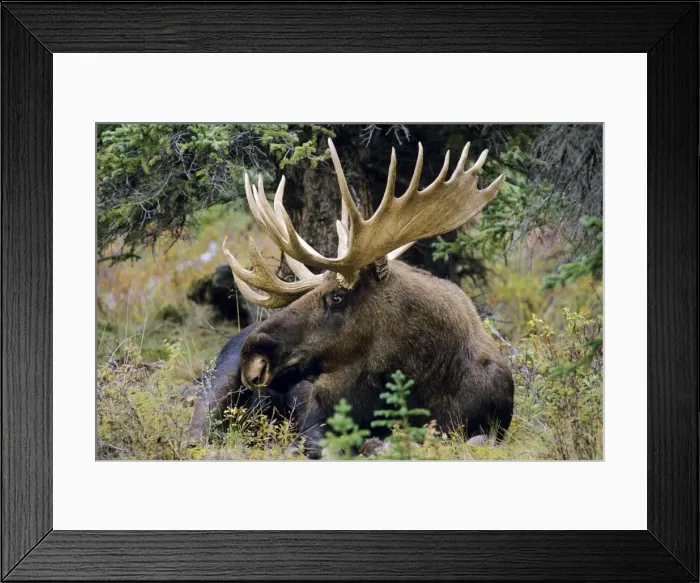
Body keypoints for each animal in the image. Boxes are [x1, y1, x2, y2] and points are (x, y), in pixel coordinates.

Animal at [188, 139, 514, 458]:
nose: (253, 356)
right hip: (215, 385)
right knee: (197, 435)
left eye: (336, 296)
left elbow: (472, 440)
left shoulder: (492, 426)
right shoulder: (316, 417)